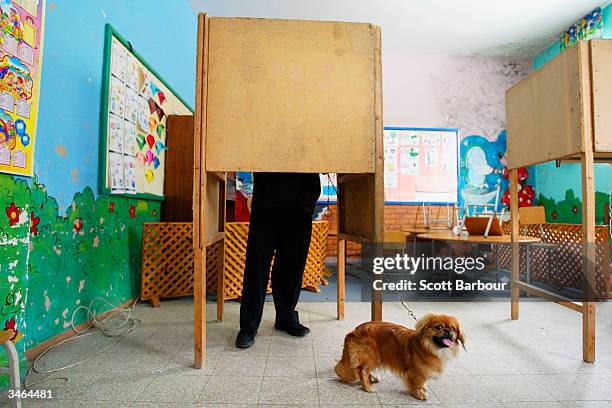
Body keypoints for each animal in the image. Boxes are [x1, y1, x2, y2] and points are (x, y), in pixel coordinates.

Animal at [334, 314, 464, 400]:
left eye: (453, 329)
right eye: (438, 327)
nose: (448, 331)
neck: (430, 347)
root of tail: (354, 331)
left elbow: (423, 381)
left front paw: (424, 387)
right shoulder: (417, 371)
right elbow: (417, 383)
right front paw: (420, 394)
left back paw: (372, 378)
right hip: (373, 356)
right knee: (363, 371)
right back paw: (368, 387)